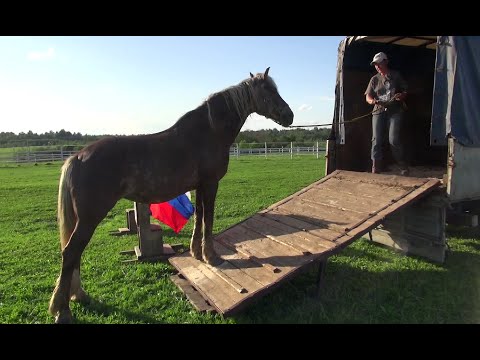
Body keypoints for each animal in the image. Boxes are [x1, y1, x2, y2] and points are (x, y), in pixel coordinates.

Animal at [50, 67, 294, 324]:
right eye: (268, 90)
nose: (289, 115)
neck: (209, 131)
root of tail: (77, 157)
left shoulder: (199, 186)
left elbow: (199, 218)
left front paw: (197, 253)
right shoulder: (211, 184)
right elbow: (208, 220)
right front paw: (212, 257)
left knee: (74, 253)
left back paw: (77, 296)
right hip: (89, 218)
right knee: (71, 252)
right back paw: (63, 310)